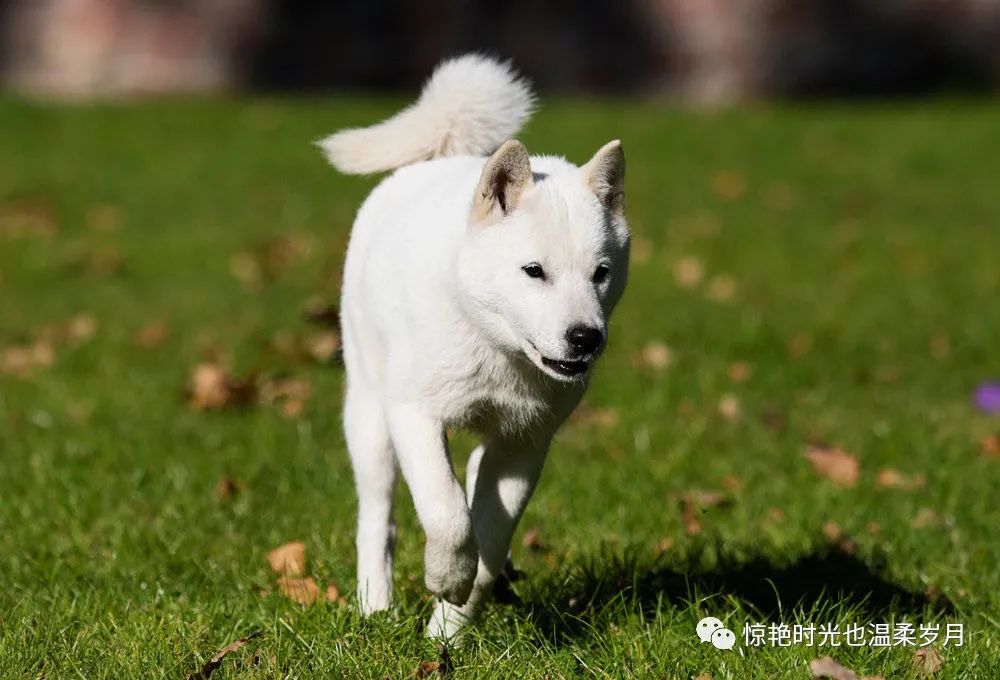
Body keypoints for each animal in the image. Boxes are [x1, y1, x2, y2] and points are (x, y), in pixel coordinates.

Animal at [320, 54, 628, 644]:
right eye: (534, 271)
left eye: (601, 273)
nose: (586, 338)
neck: (494, 348)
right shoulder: (414, 415)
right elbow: (447, 513)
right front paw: (446, 579)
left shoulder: (525, 444)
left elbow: (490, 535)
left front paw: (448, 632)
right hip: (369, 418)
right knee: (378, 519)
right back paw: (375, 607)